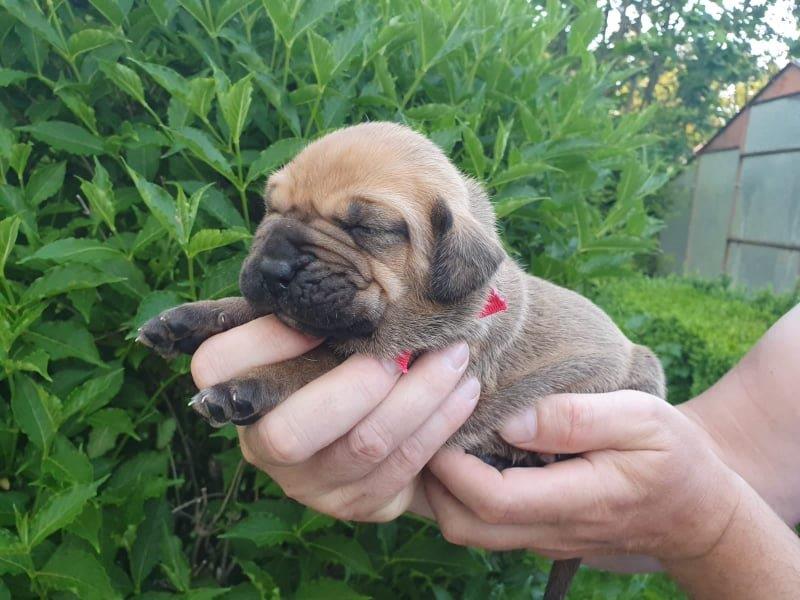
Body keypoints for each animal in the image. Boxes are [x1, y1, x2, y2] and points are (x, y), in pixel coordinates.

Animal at [139, 119, 668, 596]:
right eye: (271, 207)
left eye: (366, 227)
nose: (271, 267)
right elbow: (253, 310)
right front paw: (186, 320)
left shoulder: (405, 358)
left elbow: (311, 364)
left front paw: (241, 388)